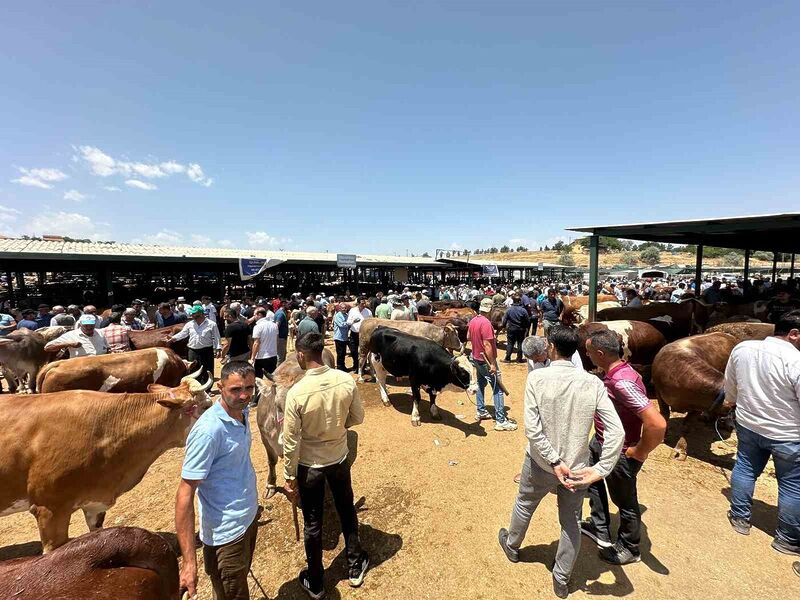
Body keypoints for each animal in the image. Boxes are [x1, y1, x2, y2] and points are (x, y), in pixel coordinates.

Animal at [648, 332, 736, 460]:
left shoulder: (700, 406)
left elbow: (686, 424)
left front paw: (680, 450)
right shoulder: (659, 392)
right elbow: (664, 415)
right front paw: (662, 438)